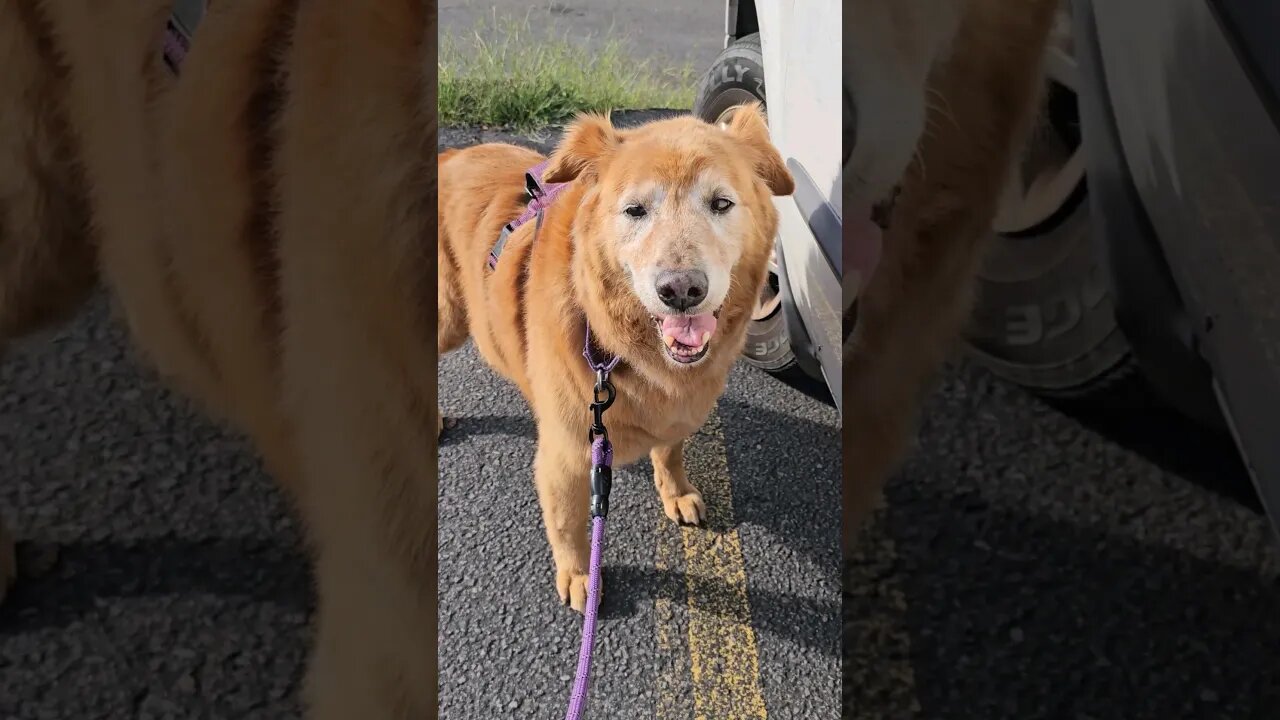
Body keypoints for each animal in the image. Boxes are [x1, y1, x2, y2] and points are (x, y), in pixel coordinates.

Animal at [437, 105, 788, 609]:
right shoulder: (565, 455)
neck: (617, 345)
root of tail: (449, 155)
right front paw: (581, 576)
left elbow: (670, 452)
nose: (681, 290)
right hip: (448, 319)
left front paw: (676, 492)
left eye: (721, 203)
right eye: (635, 210)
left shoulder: (674, 416)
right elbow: (569, 524)